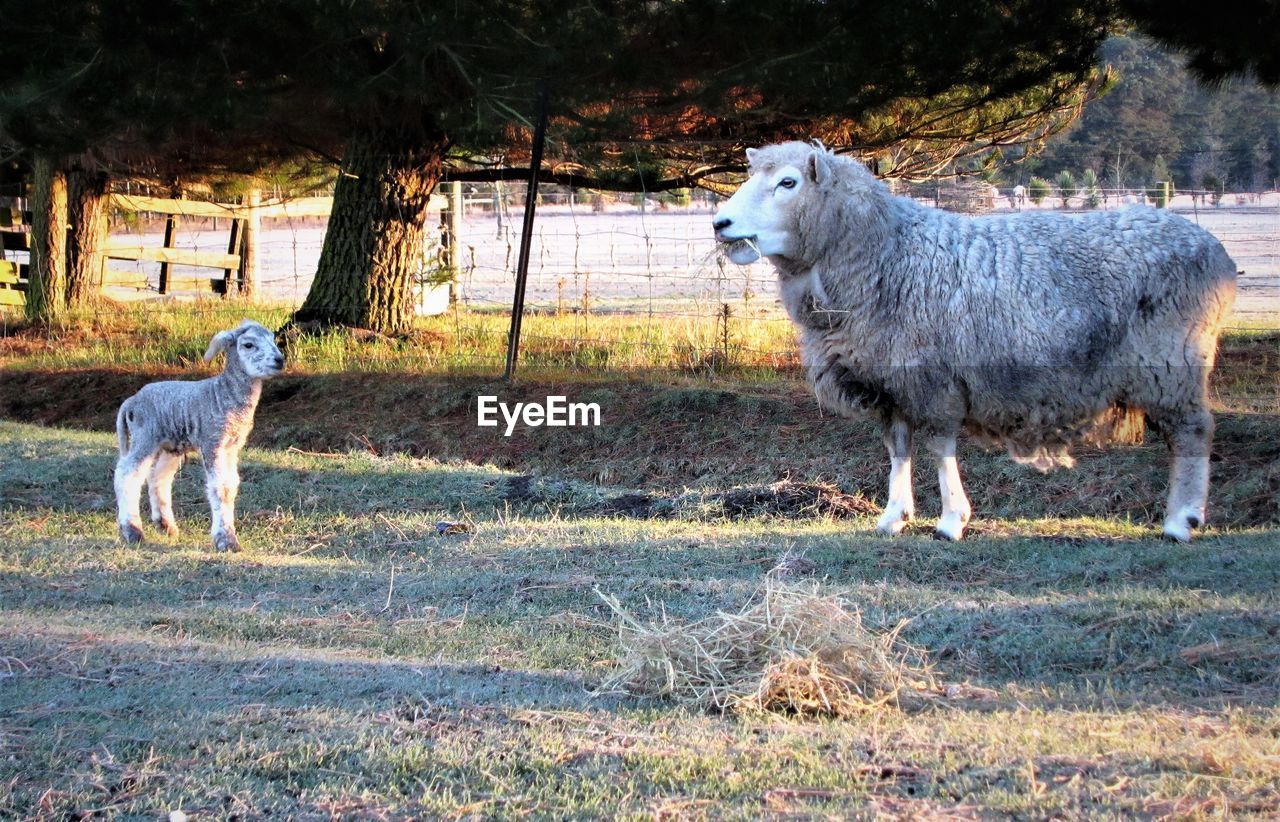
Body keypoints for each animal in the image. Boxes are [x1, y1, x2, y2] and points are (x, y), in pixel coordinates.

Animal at [114, 320, 285, 550]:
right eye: (248, 344)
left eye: (273, 340)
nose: (279, 360)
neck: (222, 395)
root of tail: (131, 401)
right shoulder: (212, 440)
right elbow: (221, 488)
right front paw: (226, 540)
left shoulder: (232, 446)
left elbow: (232, 485)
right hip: (145, 435)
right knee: (127, 475)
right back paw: (132, 531)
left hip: (171, 443)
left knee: (158, 476)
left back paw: (166, 525)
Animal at [711, 142, 1239, 537]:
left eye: (788, 183)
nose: (720, 224)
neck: (886, 254)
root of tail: (1219, 255)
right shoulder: (891, 380)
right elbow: (897, 446)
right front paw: (894, 517)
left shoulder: (933, 377)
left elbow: (940, 445)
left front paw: (951, 520)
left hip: (1172, 360)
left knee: (1193, 431)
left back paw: (1181, 520)